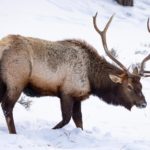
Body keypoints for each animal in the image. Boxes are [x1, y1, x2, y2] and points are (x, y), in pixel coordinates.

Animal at [0, 12, 148, 134]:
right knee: (7, 106)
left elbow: (79, 121)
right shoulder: (67, 92)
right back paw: (14, 133)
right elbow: (66, 119)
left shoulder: (78, 96)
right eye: (129, 86)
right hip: (16, 81)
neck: (92, 79)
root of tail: (3, 47)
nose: (144, 103)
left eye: (141, 86)